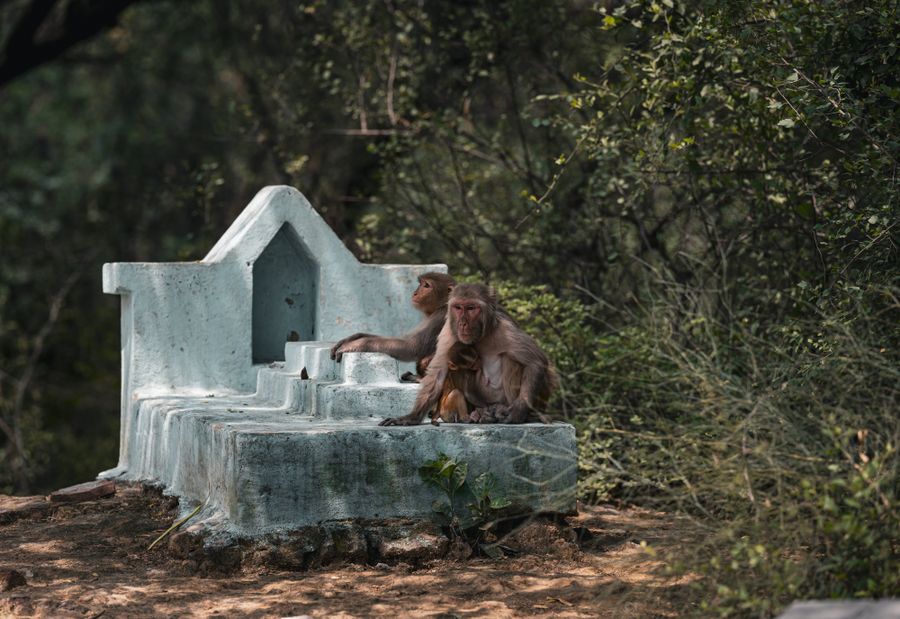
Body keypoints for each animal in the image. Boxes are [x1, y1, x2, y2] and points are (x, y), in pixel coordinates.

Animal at [379, 283, 557, 426]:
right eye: (458, 307)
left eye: (471, 308)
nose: (463, 323)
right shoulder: (449, 331)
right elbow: (438, 374)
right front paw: (410, 418)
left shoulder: (506, 329)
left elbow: (536, 361)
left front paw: (518, 411)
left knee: (512, 359)